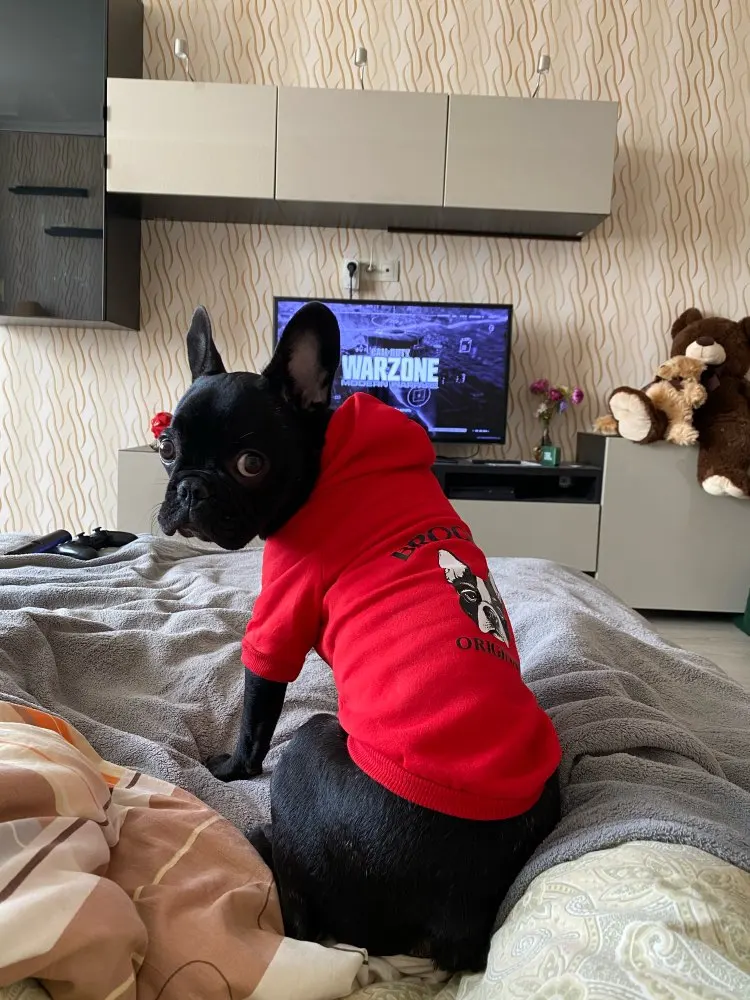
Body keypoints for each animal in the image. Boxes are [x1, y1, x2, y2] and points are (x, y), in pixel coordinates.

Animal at [158, 302, 561, 973]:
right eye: (166, 448)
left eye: (251, 464)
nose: (189, 488)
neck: (328, 463)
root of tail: (455, 918)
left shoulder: (280, 617)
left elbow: (255, 715)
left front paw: (231, 768)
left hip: (309, 744)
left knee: (298, 916)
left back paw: (261, 839)